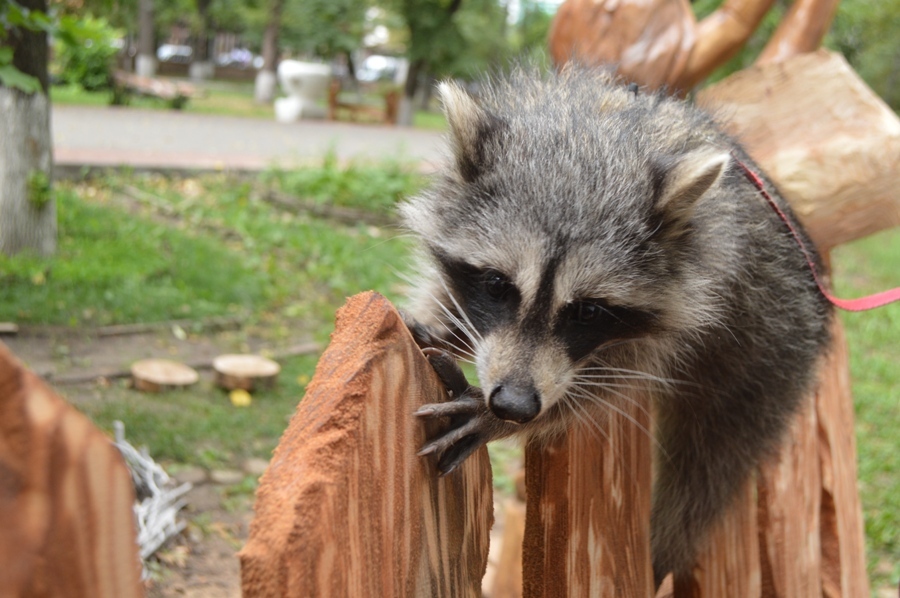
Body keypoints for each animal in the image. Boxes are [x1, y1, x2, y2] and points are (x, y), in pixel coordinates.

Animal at [400, 67, 828, 584]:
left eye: (588, 311)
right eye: (497, 284)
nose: (515, 406)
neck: (595, 136)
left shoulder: (701, 287)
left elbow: (610, 384)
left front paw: (517, 414)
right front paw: (440, 322)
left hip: (770, 352)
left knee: (708, 467)